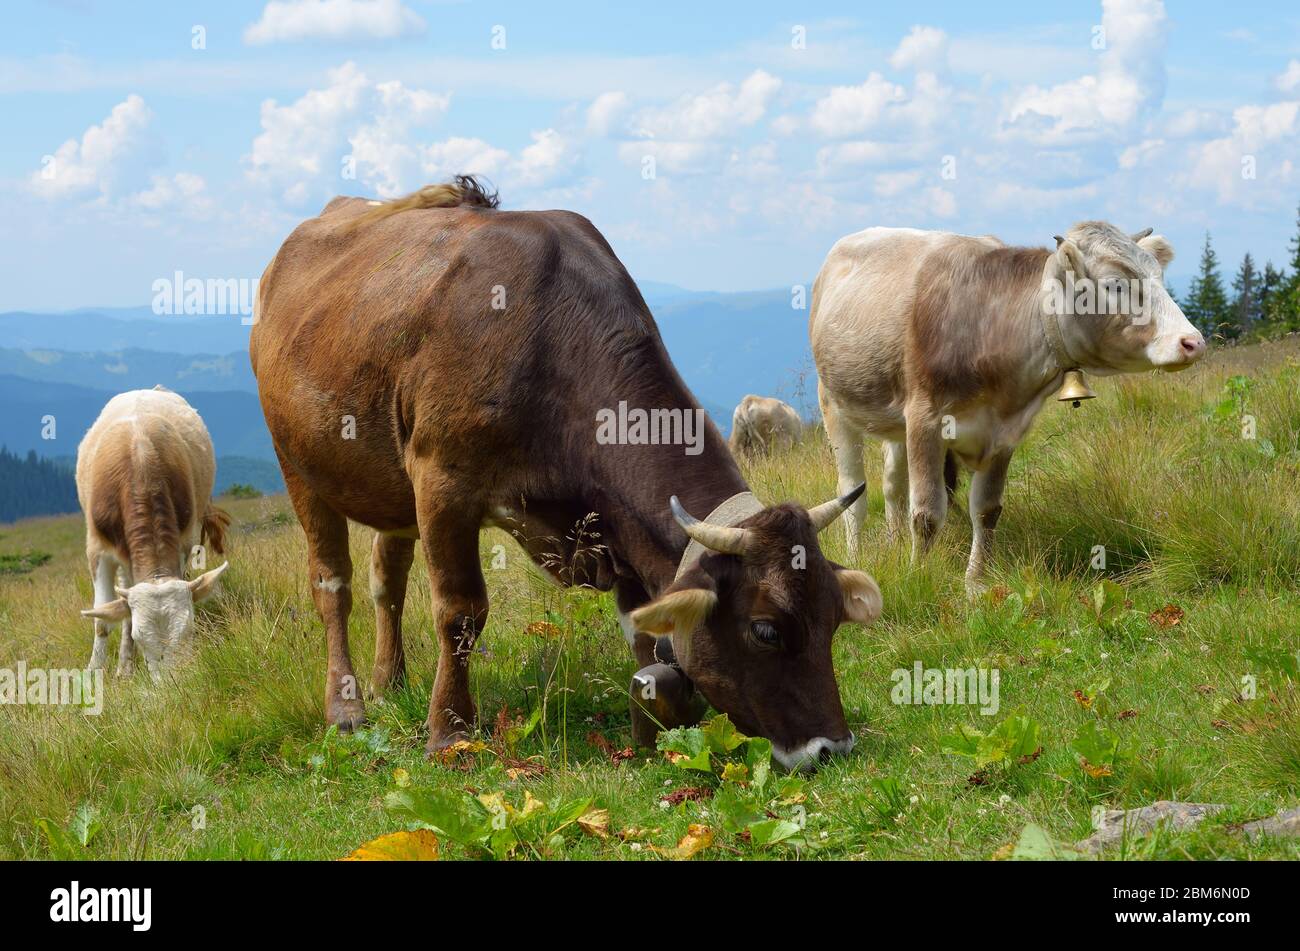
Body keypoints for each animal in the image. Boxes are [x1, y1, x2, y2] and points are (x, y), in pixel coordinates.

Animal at [76, 387, 230, 675]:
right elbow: (102, 619)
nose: (174, 682)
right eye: (140, 637)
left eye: (191, 629)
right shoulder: (97, 549)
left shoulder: (183, 541)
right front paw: (94, 671)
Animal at [250, 177, 883, 774]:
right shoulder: (442, 482)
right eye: (765, 630)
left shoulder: (615, 528)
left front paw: (656, 713)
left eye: (833, 618)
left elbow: (647, 637)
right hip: (297, 462)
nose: (831, 747)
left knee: (388, 579)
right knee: (333, 585)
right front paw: (449, 732)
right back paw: (347, 706)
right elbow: (460, 612)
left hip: (390, 485)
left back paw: (391, 680)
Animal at [811, 224, 1206, 595]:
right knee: (854, 493)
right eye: (1115, 285)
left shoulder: (1004, 432)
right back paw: (857, 556)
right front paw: (918, 577)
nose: (1193, 342)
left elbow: (986, 510)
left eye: (1159, 276)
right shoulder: (925, 420)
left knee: (892, 485)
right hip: (834, 405)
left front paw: (974, 584)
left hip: (895, 424)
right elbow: (926, 514)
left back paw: (894, 545)